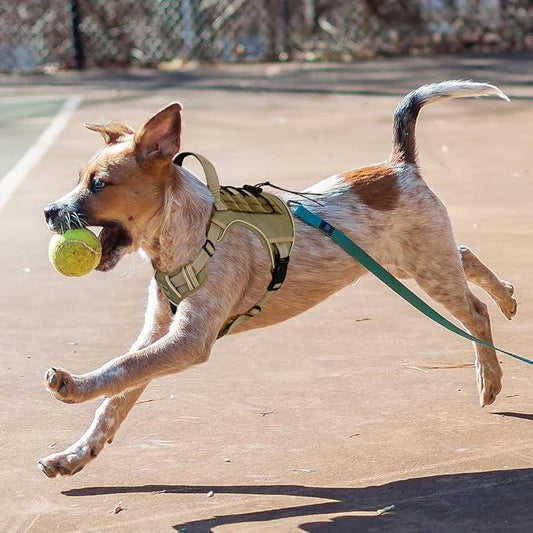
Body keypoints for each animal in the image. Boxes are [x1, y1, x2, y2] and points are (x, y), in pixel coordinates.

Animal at [41, 81, 516, 476]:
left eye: (98, 184)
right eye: (79, 179)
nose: (48, 211)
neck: (190, 235)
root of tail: (401, 166)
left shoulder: (188, 341)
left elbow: (122, 367)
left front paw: (73, 387)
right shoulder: (158, 331)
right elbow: (117, 397)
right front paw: (75, 455)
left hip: (426, 268)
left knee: (475, 312)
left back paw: (489, 376)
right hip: (409, 261)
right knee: (466, 256)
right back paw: (508, 297)